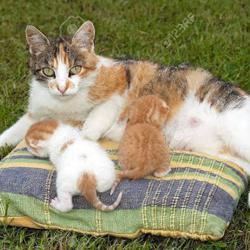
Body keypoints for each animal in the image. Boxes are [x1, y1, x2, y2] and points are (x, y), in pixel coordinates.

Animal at [0, 21, 249, 205]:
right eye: (48, 71)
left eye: (75, 69)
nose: (62, 87)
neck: (63, 104)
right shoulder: (35, 113)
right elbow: (16, 130)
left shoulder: (118, 88)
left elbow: (94, 121)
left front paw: (82, 145)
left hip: (233, 123)